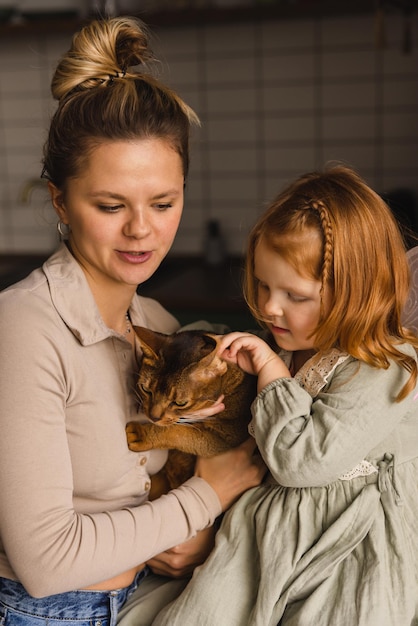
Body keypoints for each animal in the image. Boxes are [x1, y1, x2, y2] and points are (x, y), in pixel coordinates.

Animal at [125, 326, 255, 498]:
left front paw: (141, 433)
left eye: (180, 403)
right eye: (146, 389)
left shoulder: (226, 438)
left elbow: (179, 432)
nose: (153, 417)